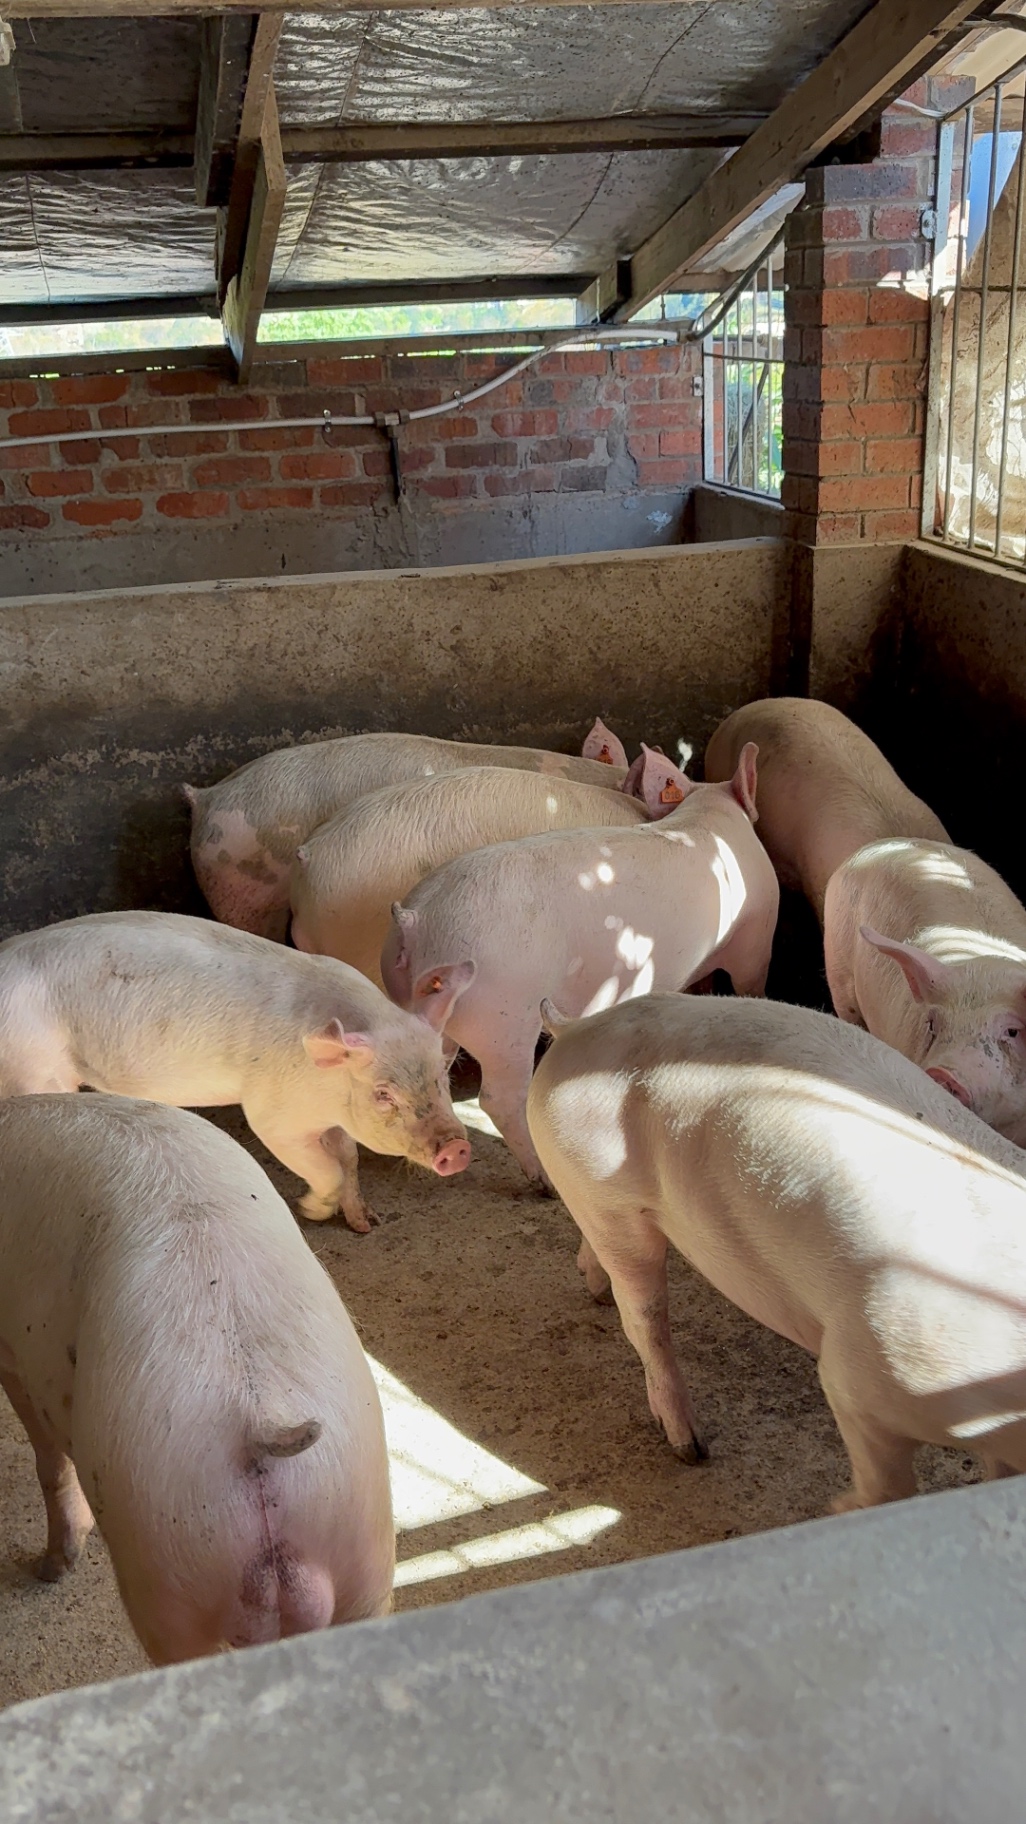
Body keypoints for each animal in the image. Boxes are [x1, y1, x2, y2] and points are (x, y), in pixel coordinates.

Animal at [0, 911, 471, 1233]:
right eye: (384, 1094)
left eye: (442, 1077)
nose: (457, 1147)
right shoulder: (273, 1115)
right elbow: (328, 1168)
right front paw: (309, 1210)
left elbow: (349, 1158)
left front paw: (365, 1224)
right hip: (34, 1064)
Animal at [0, 1093, 393, 1662]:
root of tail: (263, 1425)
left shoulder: (11, 1353)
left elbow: (48, 1460)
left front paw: (49, 1572)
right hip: (360, 1548)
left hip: (168, 1561)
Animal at [381, 744, 778, 1188]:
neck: (711, 813)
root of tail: (415, 921)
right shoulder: (757, 938)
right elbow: (750, 982)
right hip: (505, 1014)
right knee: (499, 1098)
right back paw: (544, 1182)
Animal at [527, 990, 1026, 1504]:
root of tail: (576, 1029)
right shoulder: (864, 1375)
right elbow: (885, 1485)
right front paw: (843, 1506)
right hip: (603, 1195)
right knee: (643, 1315)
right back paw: (690, 1446)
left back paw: (595, 1288)